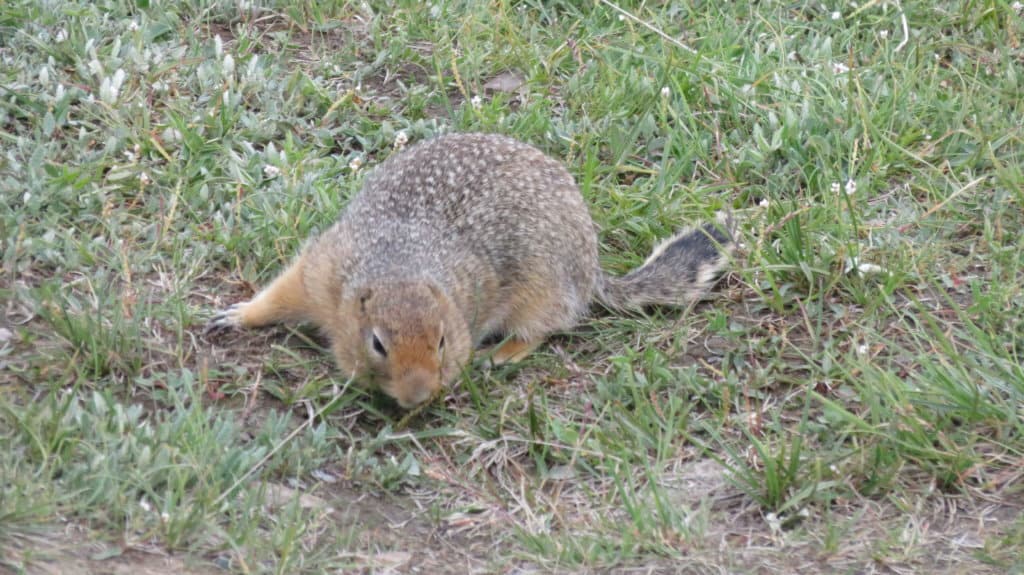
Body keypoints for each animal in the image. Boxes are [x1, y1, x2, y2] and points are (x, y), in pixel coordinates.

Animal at [209, 131, 737, 405]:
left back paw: (500, 354)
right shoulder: (323, 268)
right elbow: (283, 291)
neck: (401, 266)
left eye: (444, 341)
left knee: (547, 327)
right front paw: (236, 315)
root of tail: (591, 267)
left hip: (541, 291)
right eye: (377, 343)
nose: (420, 395)